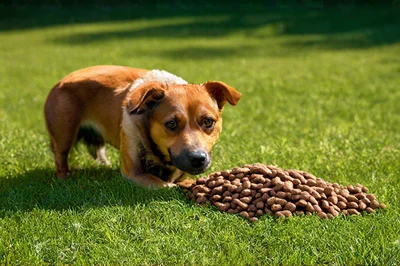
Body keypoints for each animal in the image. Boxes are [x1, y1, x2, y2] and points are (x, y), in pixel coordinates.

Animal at [45, 65, 242, 188]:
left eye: (208, 122)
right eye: (171, 123)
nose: (197, 158)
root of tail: (60, 82)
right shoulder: (134, 173)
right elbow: (165, 185)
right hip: (64, 133)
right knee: (60, 158)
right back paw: (65, 178)